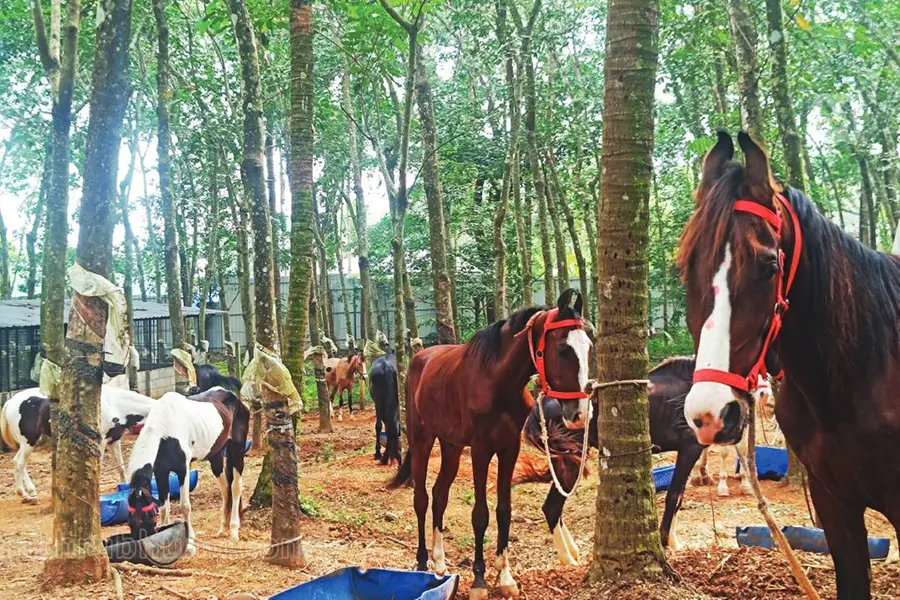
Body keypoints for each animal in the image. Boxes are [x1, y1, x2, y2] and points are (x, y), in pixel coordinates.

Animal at [0, 385, 156, 500]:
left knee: (17, 462)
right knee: (20, 463)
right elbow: (98, 468)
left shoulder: (114, 440)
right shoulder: (100, 443)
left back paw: (30, 491)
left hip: (26, 443)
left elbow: (121, 468)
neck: (115, 405)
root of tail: (10, 402)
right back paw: (24, 494)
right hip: (29, 441)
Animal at [126, 387, 250, 554]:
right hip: (216, 456)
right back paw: (222, 528)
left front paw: (190, 543)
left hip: (237, 449)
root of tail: (236, 398)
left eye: (148, 517)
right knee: (225, 489)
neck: (165, 431)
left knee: (236, 488)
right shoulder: (160, 472)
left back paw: (234, 531)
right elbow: (164, 507)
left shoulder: (183, 470)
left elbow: (185, 506)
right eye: (129, 520)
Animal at [388, 289, 591, 600]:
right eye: (562, 349)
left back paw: (439, 562)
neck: (497, 382)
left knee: (439, 495)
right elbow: (480, 514)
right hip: (422, 439)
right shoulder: (481, 450)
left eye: (588, 346)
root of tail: (420, 359)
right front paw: (479, 580)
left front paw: (505, 576)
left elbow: (504, 511)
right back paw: (423, 563)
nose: (580, 413)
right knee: (421, 499)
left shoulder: (509, 449)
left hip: (451, 446)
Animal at [517, 356, 703, 561]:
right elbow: (675, 496)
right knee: (551, 507)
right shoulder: (690, 448)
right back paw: (569, 560)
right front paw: (669, 542)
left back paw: (574, 551)